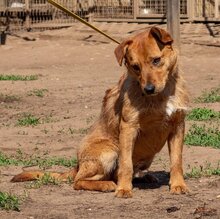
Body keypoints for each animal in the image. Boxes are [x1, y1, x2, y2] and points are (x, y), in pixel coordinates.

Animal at [10, 26, 189, 198]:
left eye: (156, 60)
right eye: (135, 67)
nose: (148, 89)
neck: (161, 96)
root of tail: (77, 165)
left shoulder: (178, 126)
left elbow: (176, 162)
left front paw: (178, 185)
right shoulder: (129, 128)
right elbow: (126, 165)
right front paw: (124, 189)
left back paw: (144, 177)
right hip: (109, 152)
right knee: (79, 181)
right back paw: (107, 185)